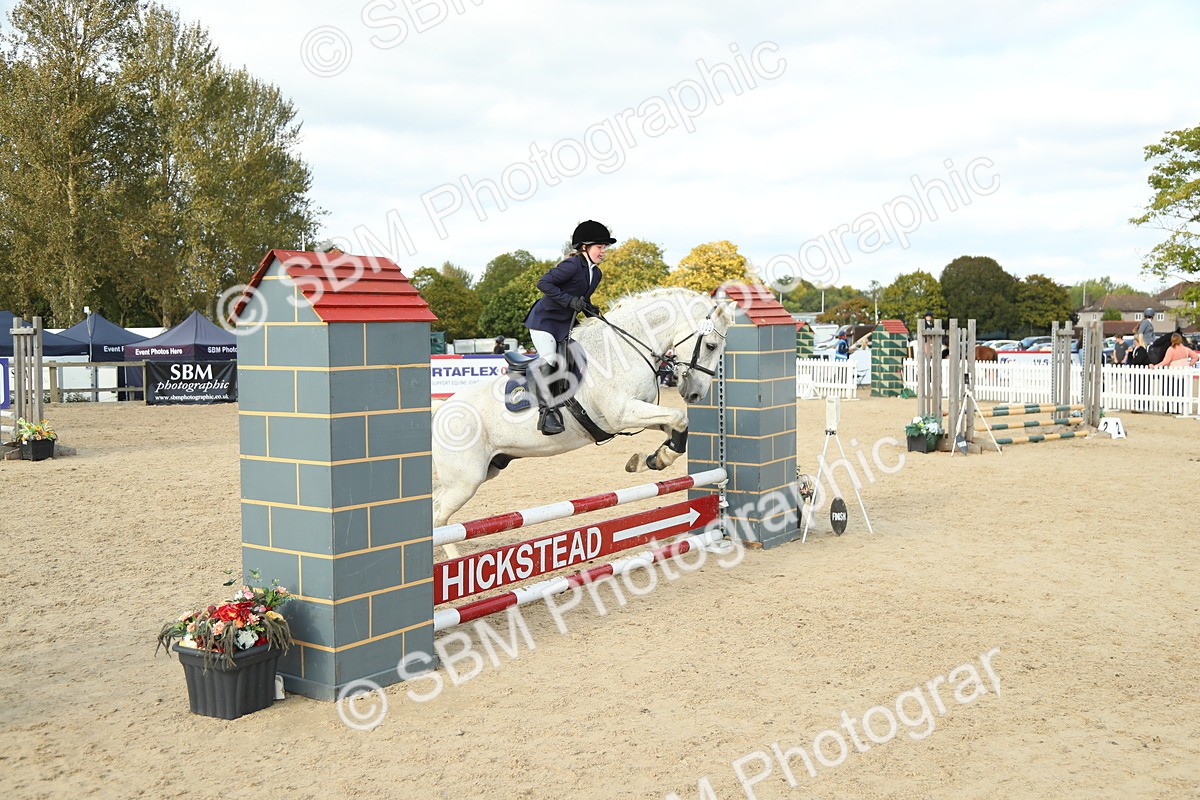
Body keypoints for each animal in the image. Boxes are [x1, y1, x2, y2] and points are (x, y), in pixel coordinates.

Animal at [431, 287, 736, 528]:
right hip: (465, 480)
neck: (623, 349)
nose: (695, 393)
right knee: (438, 519)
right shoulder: (621, 413)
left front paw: (653, 459)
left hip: (486, 470)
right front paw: (654, 458)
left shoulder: (638, 411)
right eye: (710, 345)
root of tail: (440, 411)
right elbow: (679, 417)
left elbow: (676, 425)